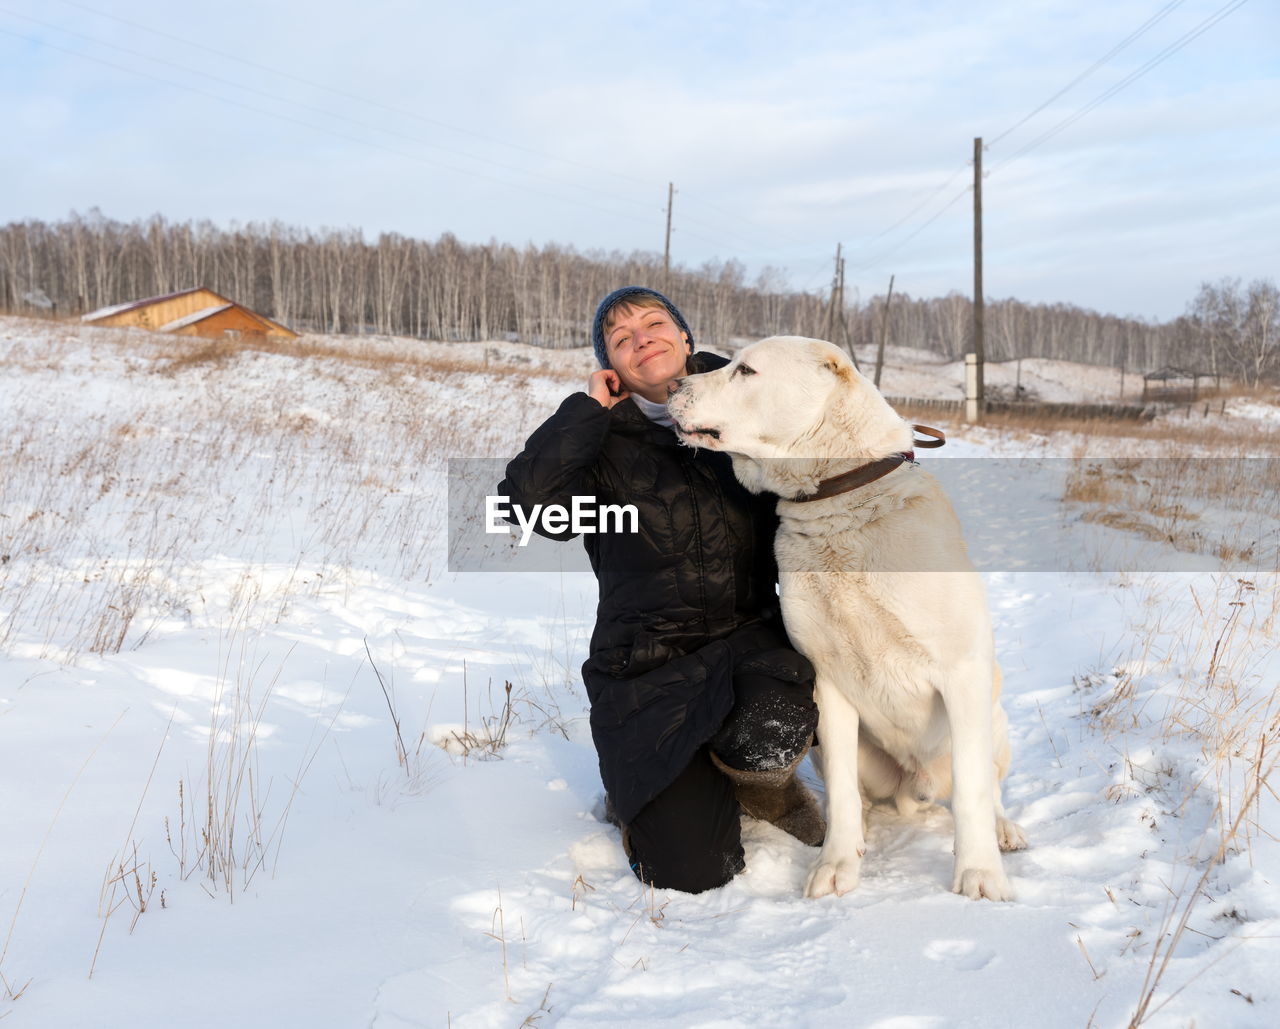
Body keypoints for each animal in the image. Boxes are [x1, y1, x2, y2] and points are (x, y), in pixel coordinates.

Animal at [665, 337, 1024, 901]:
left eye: (745, 370)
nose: (670, 385)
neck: (839, 496)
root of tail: (917, 787)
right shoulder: (827, 683)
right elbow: (839, 785)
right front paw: (837, 862)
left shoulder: (962, 671)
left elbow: (972, 792)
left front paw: (979, 874)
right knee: (858, 793)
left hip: (995, 717)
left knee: (988, 785)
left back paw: (1004, 828)